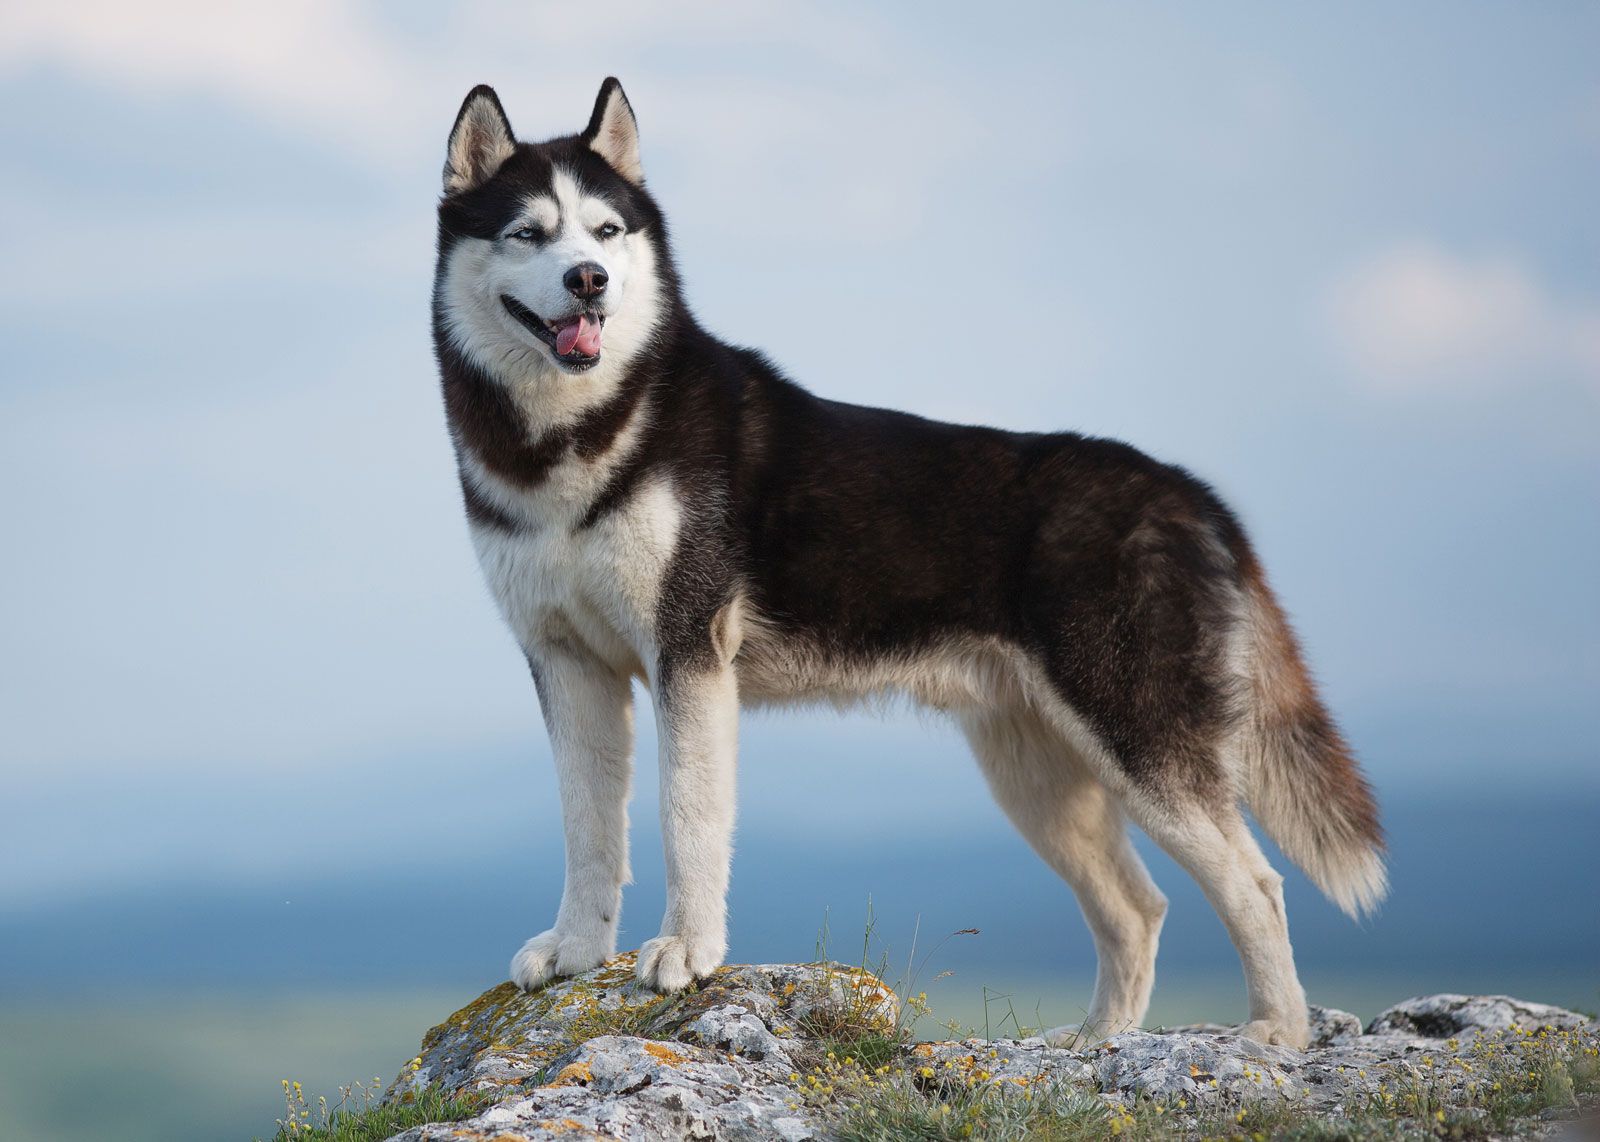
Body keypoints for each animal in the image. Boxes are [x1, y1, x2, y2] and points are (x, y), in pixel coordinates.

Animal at [432, 75, 1382, 1042]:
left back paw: (1276, 1035)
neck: (576, 438)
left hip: (1137, 735)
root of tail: (1191, 489)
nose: (586, 281)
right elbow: (587, 827)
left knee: (1256, 883)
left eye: (606, 232)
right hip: (1034, 769)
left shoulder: (688, 652)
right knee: (1137, 906)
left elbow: (686, 816)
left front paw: (687, 951)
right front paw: (577, 950)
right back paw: (1098, 1042)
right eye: (529, 233)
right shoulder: (567, 662)